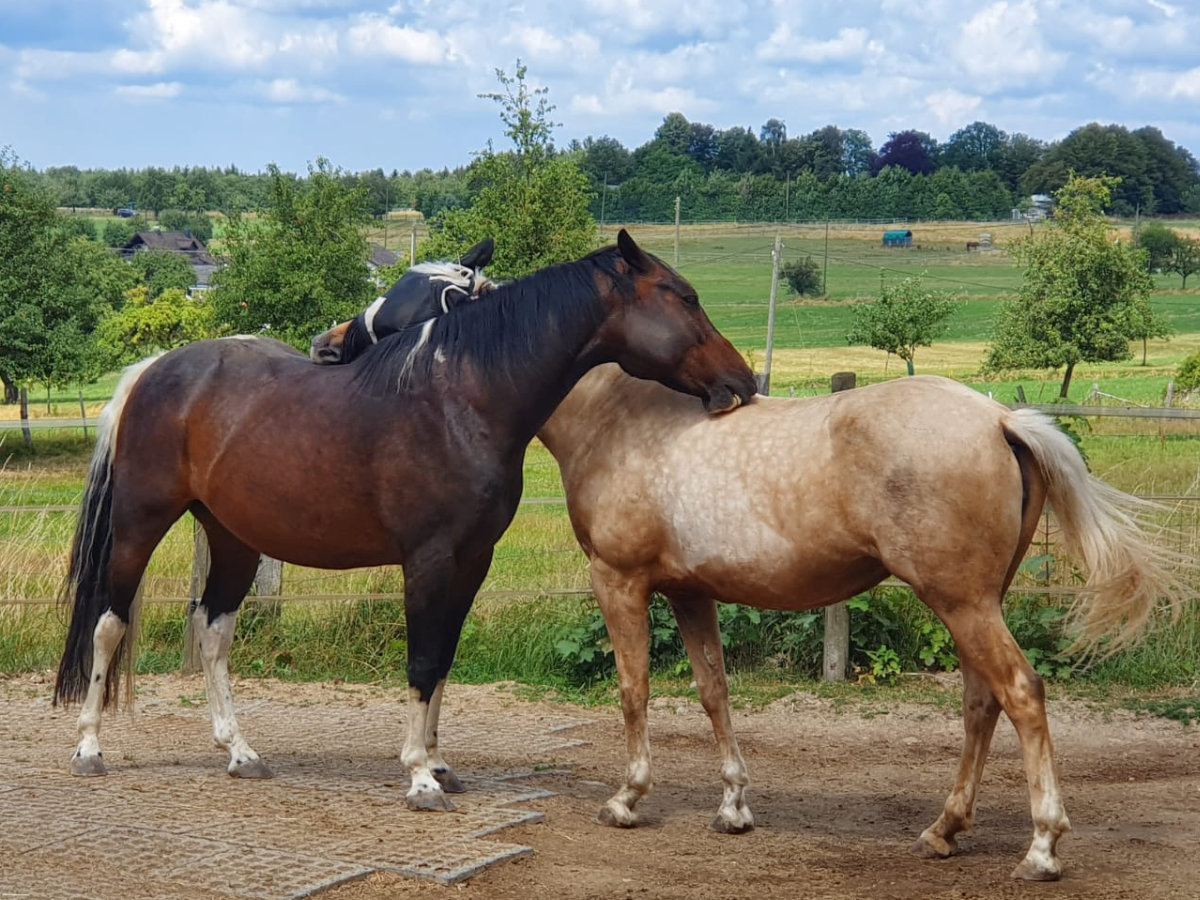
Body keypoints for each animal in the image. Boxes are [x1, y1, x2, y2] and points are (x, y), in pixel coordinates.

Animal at [52, 230, 758, 815]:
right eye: (684, 298)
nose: (743, 380)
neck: (459, 402)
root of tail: (155, 369)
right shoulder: (428, 560)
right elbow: (420, 660)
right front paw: (419, 777)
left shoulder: (472, 563)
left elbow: (443, 658)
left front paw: (440, 765)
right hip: (140, 526)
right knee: (109, 622)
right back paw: (88, 748)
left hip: (232, 540)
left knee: (212, 628)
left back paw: (240, 751)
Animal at [312, 257, 1192, 880]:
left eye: (401, 301)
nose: (327, 344)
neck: (618, 416)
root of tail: (1000, 417)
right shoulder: (692, 593)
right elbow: (713, 692)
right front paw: (733, 807)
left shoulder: (620, 582)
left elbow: (634, 689)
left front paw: (627, 799)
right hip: (975, 601)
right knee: (982, 705)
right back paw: (944, 830)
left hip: (962, 601)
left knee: (1022, 694)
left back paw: (1041, 847)